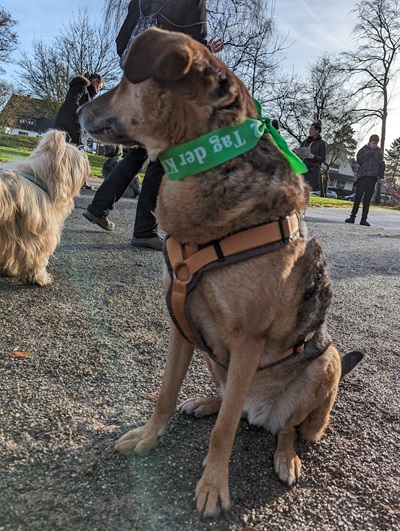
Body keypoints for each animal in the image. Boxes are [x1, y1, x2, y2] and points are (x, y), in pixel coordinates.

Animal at [0, 129, 90, 286]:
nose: (87, 162)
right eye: (79, 158)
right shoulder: (38, 236)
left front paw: (10, 270)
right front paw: (41, 278)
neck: (41, 178)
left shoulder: (10, 233)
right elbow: (38, 257)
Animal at [79, 29, 362, 520]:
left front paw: (213, 485)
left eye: (125, 79)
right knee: (234, 400)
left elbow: (225, 430)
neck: (206, 162)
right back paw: (207, 401)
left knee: (281, 427)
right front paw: (150, 437)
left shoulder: (248, 340)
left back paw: (286, 457)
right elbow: (166, 393)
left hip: (324, 366)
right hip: (214, 357)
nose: (77, 110)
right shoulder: (181, 324)